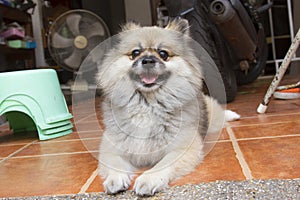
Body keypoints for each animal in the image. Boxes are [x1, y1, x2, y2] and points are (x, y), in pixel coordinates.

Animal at [96, 18, 239, 196]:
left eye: (163, 54)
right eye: (135, 53)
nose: (148, 60)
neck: (147, 103)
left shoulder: (182, 149)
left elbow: (163, 165)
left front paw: (149, 179)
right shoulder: (111, 149)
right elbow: (115, 164)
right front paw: (116, 178)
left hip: (214, 120)